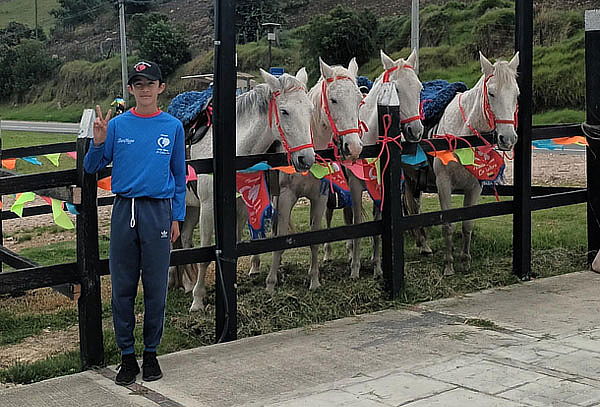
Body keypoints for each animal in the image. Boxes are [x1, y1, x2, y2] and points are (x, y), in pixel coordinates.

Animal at [182, 70, 314, 312]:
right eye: (284, 111)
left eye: (310, 109)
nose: (306, 159)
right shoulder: (208, 208)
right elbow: (205, 252)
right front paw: (197, 300)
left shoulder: (241, 206)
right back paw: (189, 287)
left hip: (190, 207)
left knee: (185, 239)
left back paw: (188, 283)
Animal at [251, 58, 364, 294]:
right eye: (334, 100)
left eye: (359, 100)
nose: (354, 147)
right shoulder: (285, 196)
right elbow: (280, 237)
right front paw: (271, 283)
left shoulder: (320, 197)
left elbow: (315, 236)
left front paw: (314, 280)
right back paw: (255, 266)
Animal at [324, 47, 426, 278]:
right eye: (397, 89)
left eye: (419, 88)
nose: (415, 131)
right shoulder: (354, 186)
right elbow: (358, 223)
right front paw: (355, 269)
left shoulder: (379, 187)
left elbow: (376, 225)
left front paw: (377, 266)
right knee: (331, 215)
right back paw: (330, 254)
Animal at [410, 52, 516, 278]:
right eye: (491, 93)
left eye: (516, 94)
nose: (508, 138)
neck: (462, 135)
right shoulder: (443, 185)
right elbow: (448, 224)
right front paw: (449, 265)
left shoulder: (475, 187)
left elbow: (467, 224)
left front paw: (465, 261)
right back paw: (422, 244)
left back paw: (422, 243)